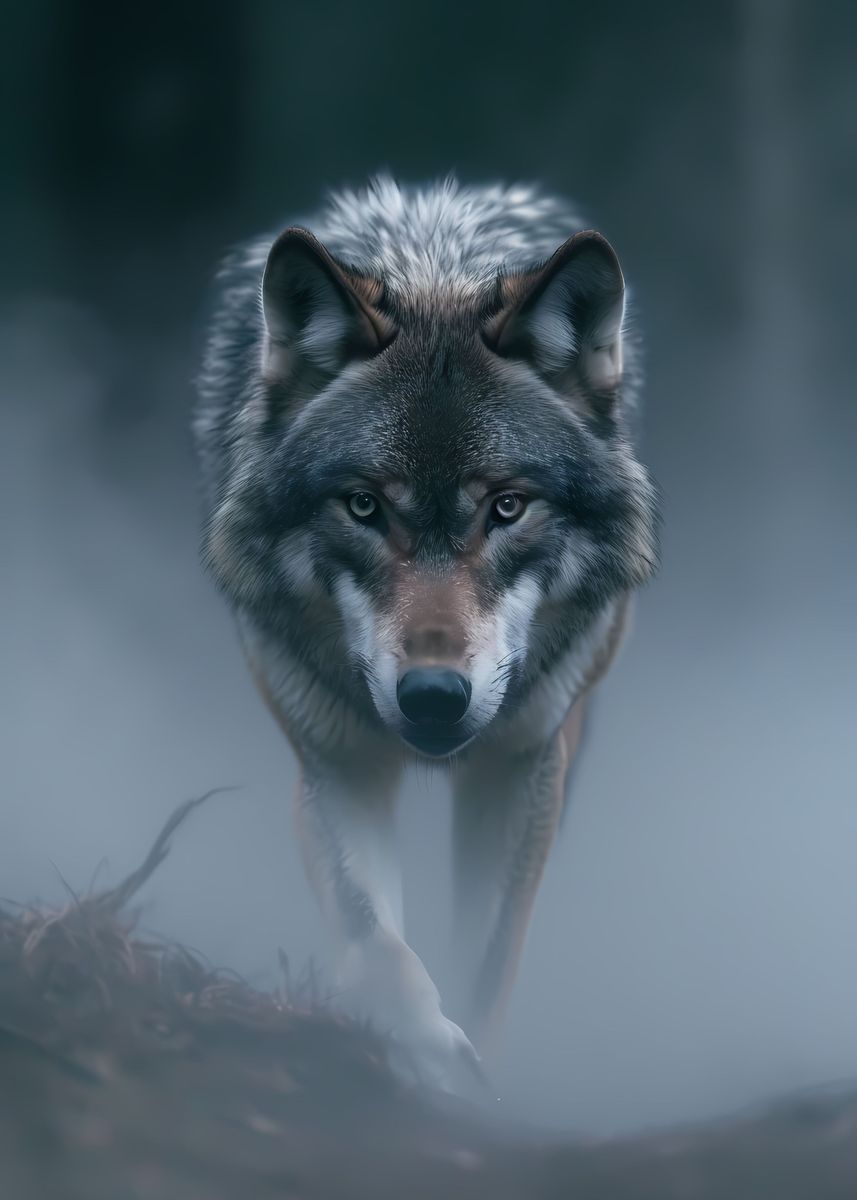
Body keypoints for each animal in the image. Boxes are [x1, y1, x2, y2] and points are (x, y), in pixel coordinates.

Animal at [194, 175, 659, 1089]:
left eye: (506, 507)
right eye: (363, 506)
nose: (435, 697)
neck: (432, 269)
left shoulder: (521, 770)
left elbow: (484, 965)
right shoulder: (332, 764)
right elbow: (374, 941)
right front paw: (427, 1054)